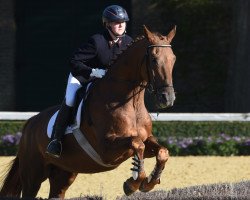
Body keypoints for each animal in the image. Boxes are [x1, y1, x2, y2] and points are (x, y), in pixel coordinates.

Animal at [0, 25, 176, 198]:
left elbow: (162, 152)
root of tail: (30, 123)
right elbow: (137, 144)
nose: (167, 98)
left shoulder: (146, 140)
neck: (130, 104)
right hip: (33, 175)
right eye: (154, 59)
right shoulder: (106, 148)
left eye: (173, 59)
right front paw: (132, 184)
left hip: (63, 173)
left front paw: (149, 181)